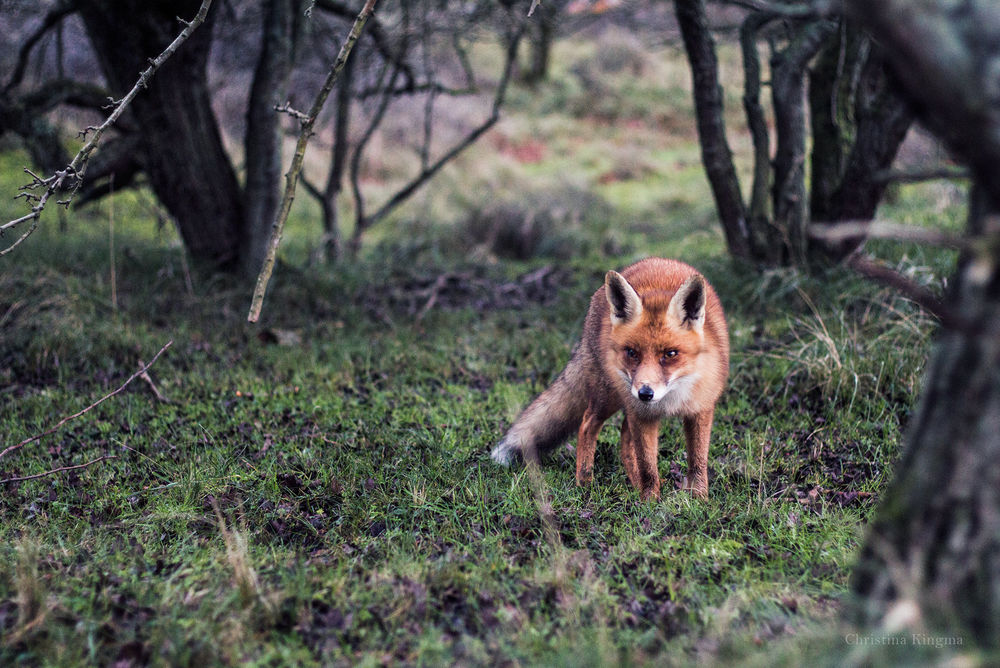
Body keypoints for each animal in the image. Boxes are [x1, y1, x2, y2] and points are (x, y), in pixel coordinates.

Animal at [491, 257, 729, 500]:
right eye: (632, 352)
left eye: (670, 354)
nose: (645, 393)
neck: (671, 399)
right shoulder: (642, 414)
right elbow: (648, 465)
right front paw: (651, 502)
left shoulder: (699, 410)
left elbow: (697, 461)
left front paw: (698, 497)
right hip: (609, 396)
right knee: (588, 424)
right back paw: (585, 482)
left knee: (624, 439)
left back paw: (633, 484)